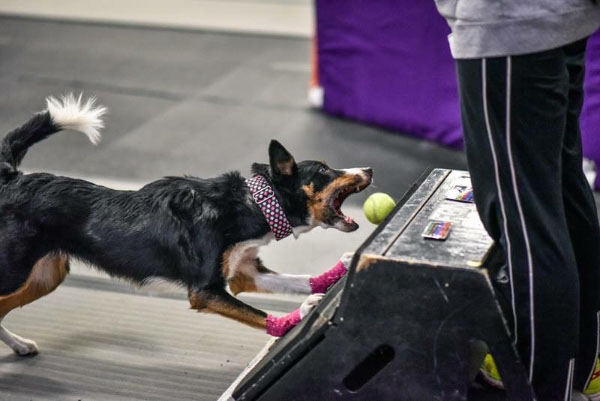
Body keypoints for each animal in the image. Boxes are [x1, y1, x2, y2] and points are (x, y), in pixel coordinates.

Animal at [0, 94, 372, 356]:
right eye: (323, 170)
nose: (368, 170)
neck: (252, 204)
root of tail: (11, 180)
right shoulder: (205, 291)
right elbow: (256, 313)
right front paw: (294, 317)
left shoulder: (244, 273)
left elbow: (298, 280)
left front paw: (338, 271)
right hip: (16, 274)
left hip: (44, 276)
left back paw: (20, 345)